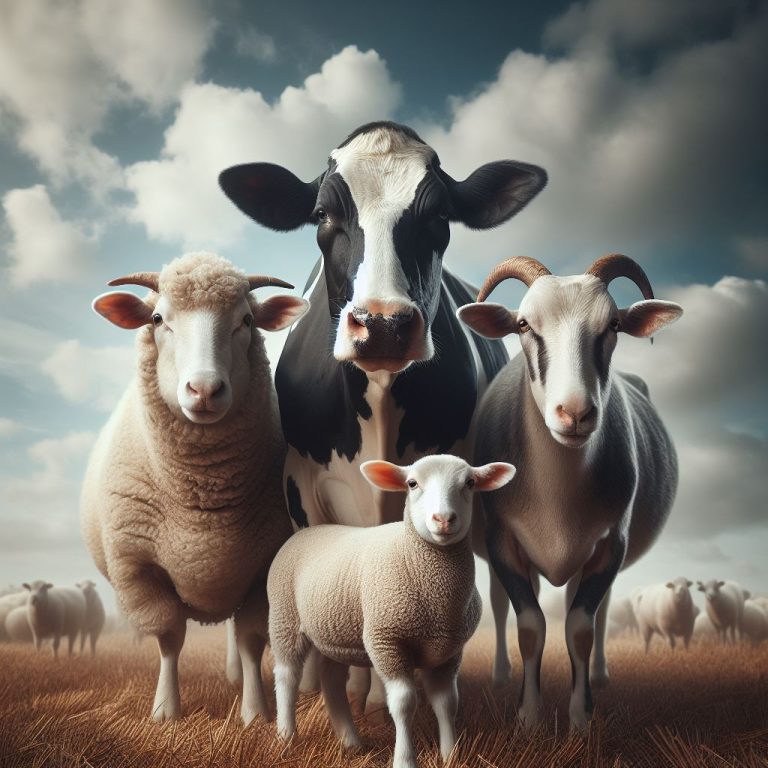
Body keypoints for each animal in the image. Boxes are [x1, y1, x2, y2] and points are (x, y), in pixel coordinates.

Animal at [80, 251, 308, 723]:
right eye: (157, 318)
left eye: (246, 320)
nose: (204, 389)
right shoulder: (138, 569)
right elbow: (169, 638)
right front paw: (166, 711)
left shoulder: (264, 568)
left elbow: (250, 640)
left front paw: (254, 713)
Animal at [268, 454, 516, 768]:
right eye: (412, 484)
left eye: (470, 483)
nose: (444, 519)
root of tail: (309, 530)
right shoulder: (386, 641)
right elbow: (403, 702)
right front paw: (405, 760)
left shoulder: (450, 651)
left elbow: (447, 702)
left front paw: (451, 755)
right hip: (284, 616)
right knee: (287, 675)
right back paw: (286, 737)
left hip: (334, 632)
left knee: (332, 681)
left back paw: (350, 742)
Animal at [457, 254, 682, 730]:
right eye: (523, 324)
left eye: (613, 324)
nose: (575, 414)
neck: (557, 497)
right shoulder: (504, 542)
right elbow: (530, 626)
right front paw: (528, 715)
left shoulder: (610, 543)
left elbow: (579, 626)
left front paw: (581, 717)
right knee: (500, 606)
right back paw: (501, 676)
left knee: (599, 612)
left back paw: (599, 675)